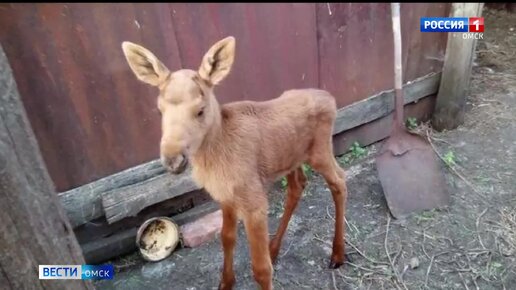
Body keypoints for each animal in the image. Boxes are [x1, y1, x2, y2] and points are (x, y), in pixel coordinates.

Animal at [121, 36, 348, 290]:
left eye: (200, 110)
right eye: (159, 110)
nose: (173, 160)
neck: (218, 157)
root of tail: (331, 99)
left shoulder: (254, 202)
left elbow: (261, 268)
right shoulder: (226, 197)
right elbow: (226, 237)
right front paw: (226, 282)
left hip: (320, 152)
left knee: (339, 181)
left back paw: (337, 254)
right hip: (290, 158)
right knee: (298, 186)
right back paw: (274, 248)